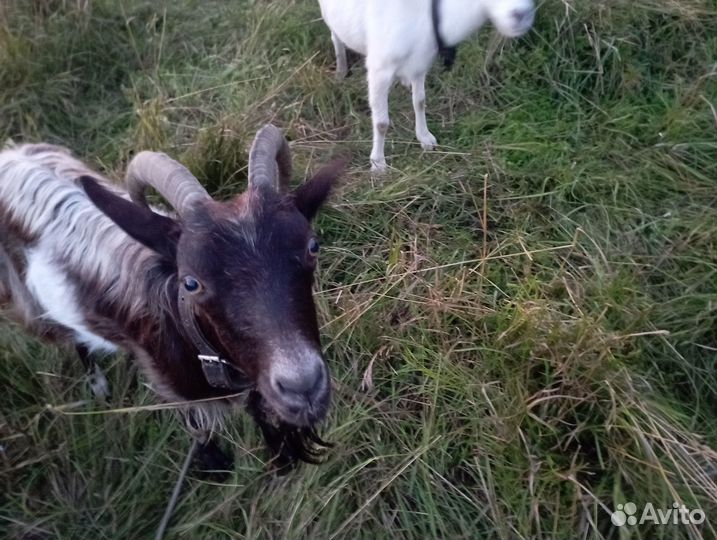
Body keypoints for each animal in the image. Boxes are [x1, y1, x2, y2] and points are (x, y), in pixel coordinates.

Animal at [0, 126, 346, 471]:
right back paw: (98, 385)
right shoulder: (177, 388)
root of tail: (10, 155)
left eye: (312, 246)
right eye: (191, 283)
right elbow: (199, 428)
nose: (303, 388)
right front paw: (216, 463)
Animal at [318, 0, 535, 171]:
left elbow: (420, 101)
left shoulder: (420, 64)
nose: (521, 14)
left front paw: (425, 138)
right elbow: (381, 123)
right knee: (335, 36)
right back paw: (341, 70)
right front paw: (378, 164)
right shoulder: (380, 69)